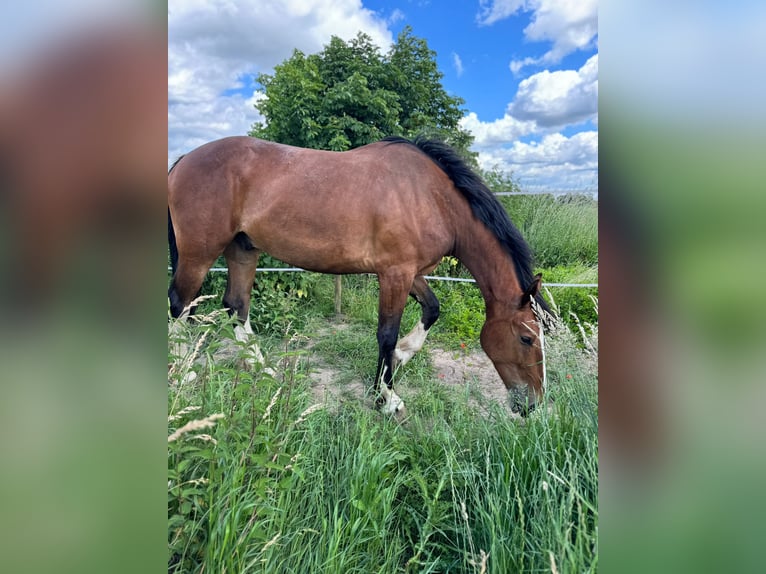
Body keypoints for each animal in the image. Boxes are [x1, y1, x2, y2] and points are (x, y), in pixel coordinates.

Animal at [168, 138, 552, 420]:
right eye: (527, 338)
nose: (532, 404)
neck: (430, 196)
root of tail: (185, 158)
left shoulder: (410, 272)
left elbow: (432, 310)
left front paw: (400, 359)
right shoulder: (395, 274)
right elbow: (386, 334)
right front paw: (388, 396)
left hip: (243, 249)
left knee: (236, 306)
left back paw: (265, 371)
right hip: (199, 253)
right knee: (180, 305)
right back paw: (182, 375)